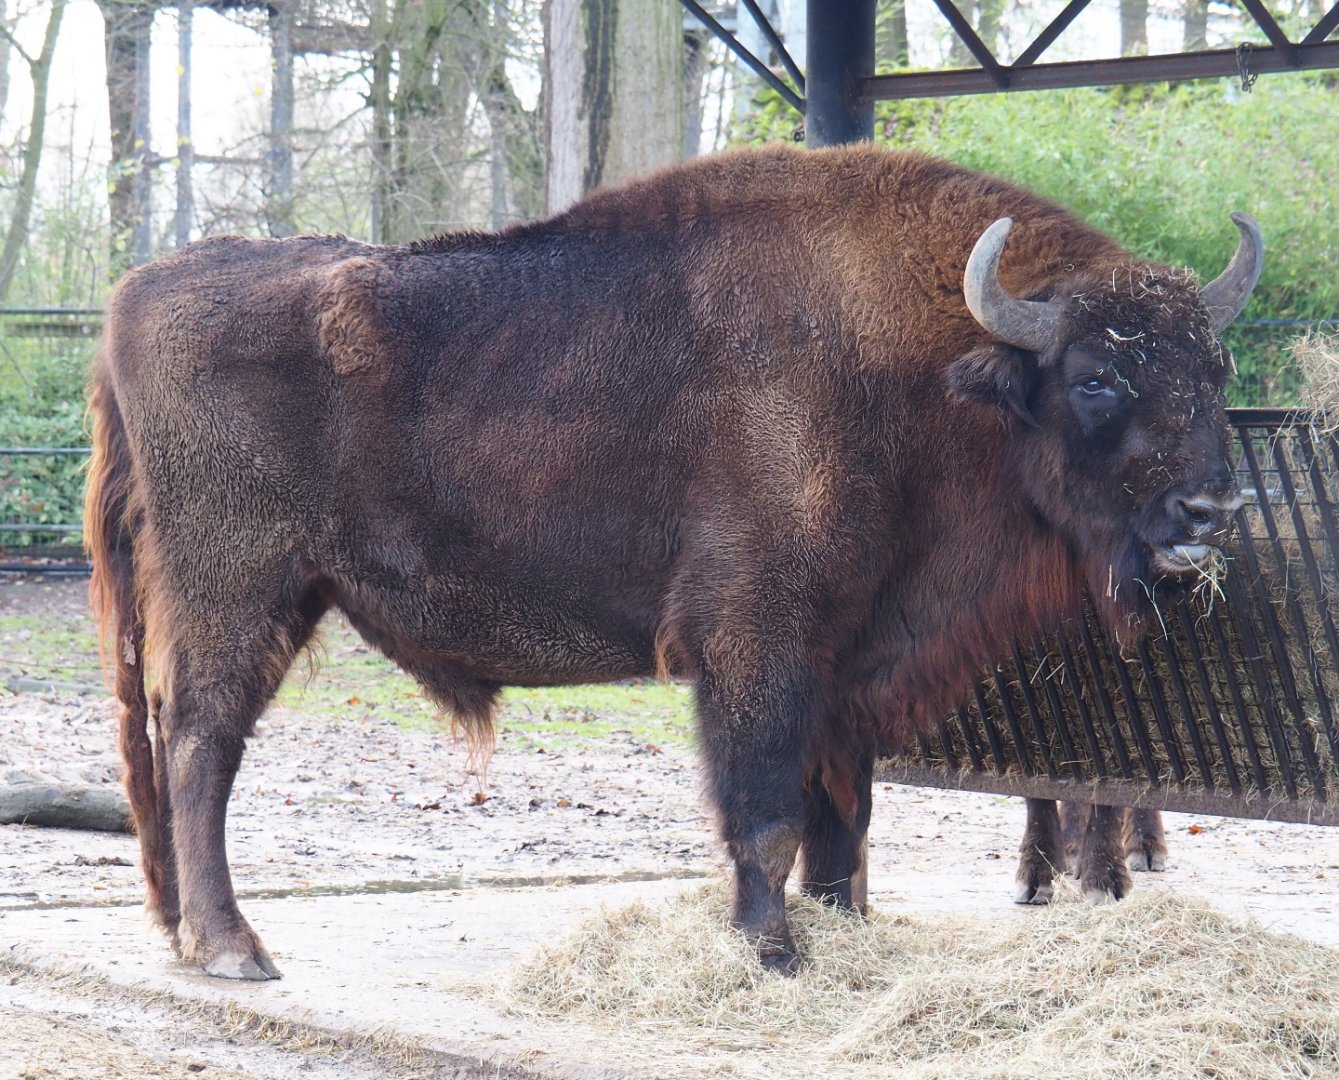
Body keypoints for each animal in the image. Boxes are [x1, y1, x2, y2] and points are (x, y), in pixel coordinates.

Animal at [85, 144, 1260, 979]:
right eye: (1097, 376)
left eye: (1212, 368)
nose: (1211, 506)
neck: (919, 367)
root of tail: (133, 295)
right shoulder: (756, 644)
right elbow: (767, 815)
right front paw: (771, 953)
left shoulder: (844, 664)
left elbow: (841, 819)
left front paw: (834, 932)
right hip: (241, 591)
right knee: (203, 744)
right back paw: (234, 949)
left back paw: (191, 934)